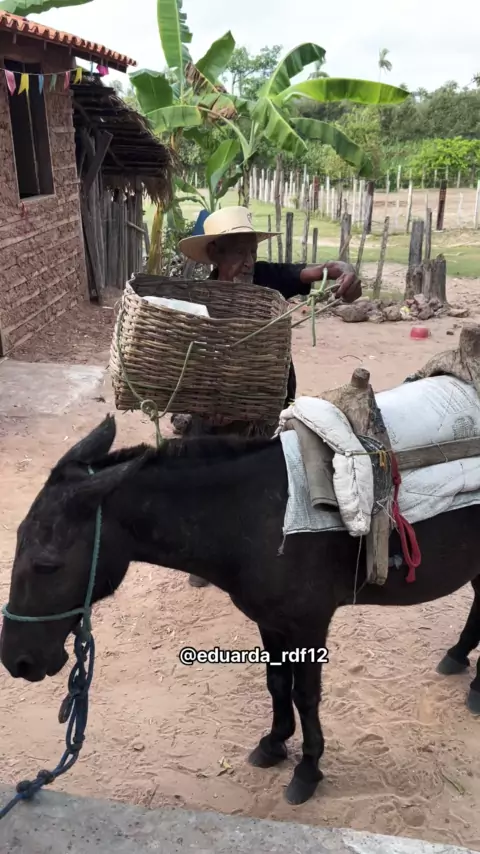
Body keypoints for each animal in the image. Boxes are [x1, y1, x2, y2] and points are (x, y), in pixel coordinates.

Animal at [1, 415, 479, 806]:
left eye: (46, 565)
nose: (16, 660)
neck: (255, 514)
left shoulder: (309, 624)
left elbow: (306, 695)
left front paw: (308, 770)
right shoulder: (271, 621)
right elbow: (276, 683)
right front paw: (274, 744)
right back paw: (459, 660)